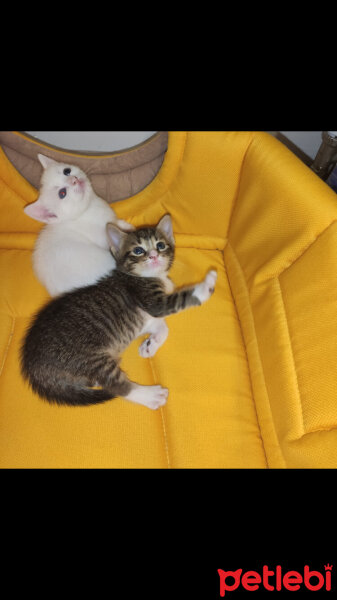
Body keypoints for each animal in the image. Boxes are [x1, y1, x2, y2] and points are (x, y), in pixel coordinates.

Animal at [21, 213, 217, 410]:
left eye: (160, 245)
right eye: (138, 250)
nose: (154, 256)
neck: (142, 276)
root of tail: (33, 365)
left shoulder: (147, 318)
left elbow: (164, 328)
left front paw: (149, 345)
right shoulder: (154, 303)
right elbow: (181, 299)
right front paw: (206, 286)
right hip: (90, 360)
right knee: (118, 386)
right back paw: (151, 396)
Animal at [23, 154, 133, 296]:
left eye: (67, 171)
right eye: (62, 193)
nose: (73, 180)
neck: (87, 208)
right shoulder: (103, 236)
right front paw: (127, 228)